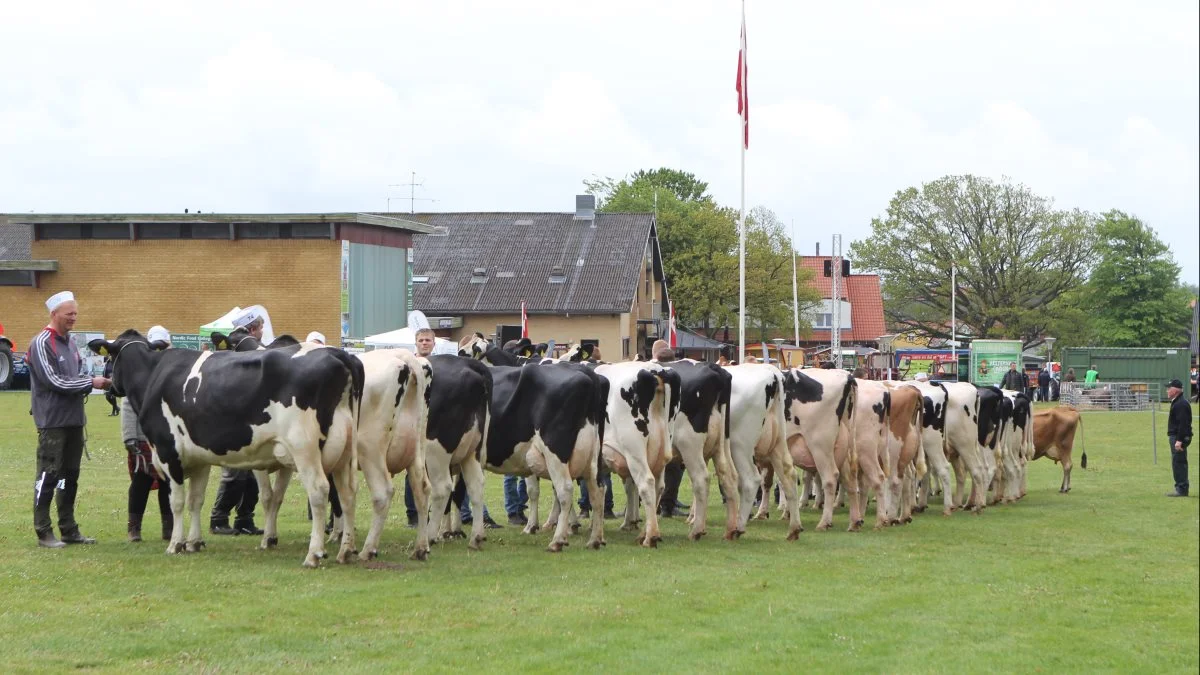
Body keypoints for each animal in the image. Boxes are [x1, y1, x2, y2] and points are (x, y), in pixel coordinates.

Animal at [88, 329, 362, 564]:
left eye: (110, 356)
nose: (109, 388)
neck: (152, 377)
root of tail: (339, 354)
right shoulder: (199, 458)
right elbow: (196, 500)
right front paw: (194, 542)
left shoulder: (168, 451)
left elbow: (177, 502)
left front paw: (175, 544)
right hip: (344, 449)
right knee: (347, 493)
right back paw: (346, 550)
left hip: (304, 447)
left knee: (319, 491)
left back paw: (314, 554)